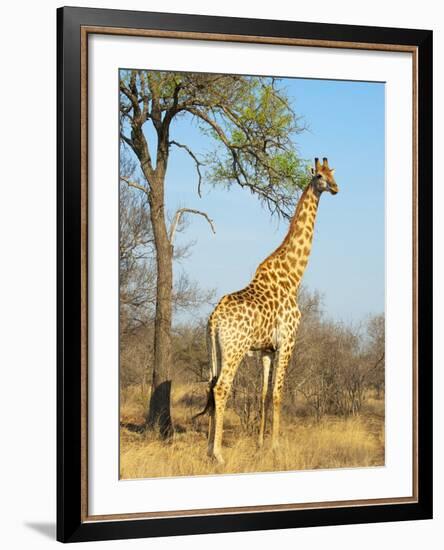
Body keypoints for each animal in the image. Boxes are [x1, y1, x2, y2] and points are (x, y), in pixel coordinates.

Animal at [199, 157, 338, 464]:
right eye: (320, 176)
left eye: (334, 173)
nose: (336, 188)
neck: (293, 277)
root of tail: (213, 319)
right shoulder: (288, 341)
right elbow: (277, 393)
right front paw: (275, 447)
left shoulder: (266, 350)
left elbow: (262, 393)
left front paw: (261, 445)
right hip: (235, 349)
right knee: (222, 387)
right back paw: (218, 454)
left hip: (216, 349)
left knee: (210, 385)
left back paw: (208, 449)